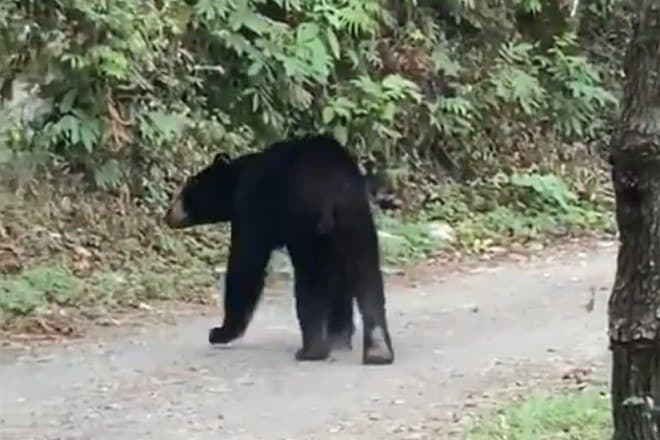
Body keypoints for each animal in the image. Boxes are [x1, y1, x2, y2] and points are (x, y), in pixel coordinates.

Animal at [164, 135, 394, 365]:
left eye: (189, 186)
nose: (168, 214)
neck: (238, 178)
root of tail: (334, 188)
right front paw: (339, 334)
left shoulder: (252, 205)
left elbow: (246, 263)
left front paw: (220, 332)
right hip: (356, 219)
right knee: (367, 273)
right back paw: (378, 350)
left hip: (306, 221)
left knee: (311, 279)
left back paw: (312, 350)